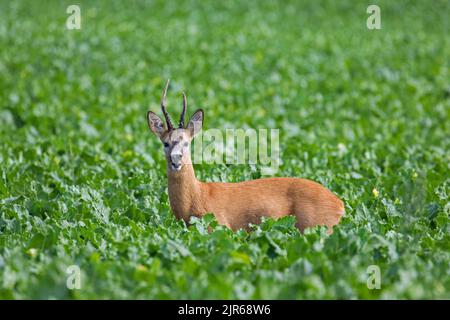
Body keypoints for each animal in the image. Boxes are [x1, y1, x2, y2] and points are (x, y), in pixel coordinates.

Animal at [148, 80, 344, 232]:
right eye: (165, 143)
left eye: (187, 143)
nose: (176, 161)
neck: (197, 197)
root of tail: (340, 204)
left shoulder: (218, 227)